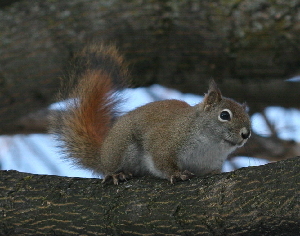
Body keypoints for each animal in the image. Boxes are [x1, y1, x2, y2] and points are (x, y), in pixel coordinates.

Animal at [51, 43, 251, 184]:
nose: (246, 134)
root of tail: (102, 153)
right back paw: (116, 174)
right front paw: (176, 174)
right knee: (109, 168)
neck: (211, 145)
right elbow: (162, 161)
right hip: (121, 148)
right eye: (224, 115)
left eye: (248, 118)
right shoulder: (165, 143)